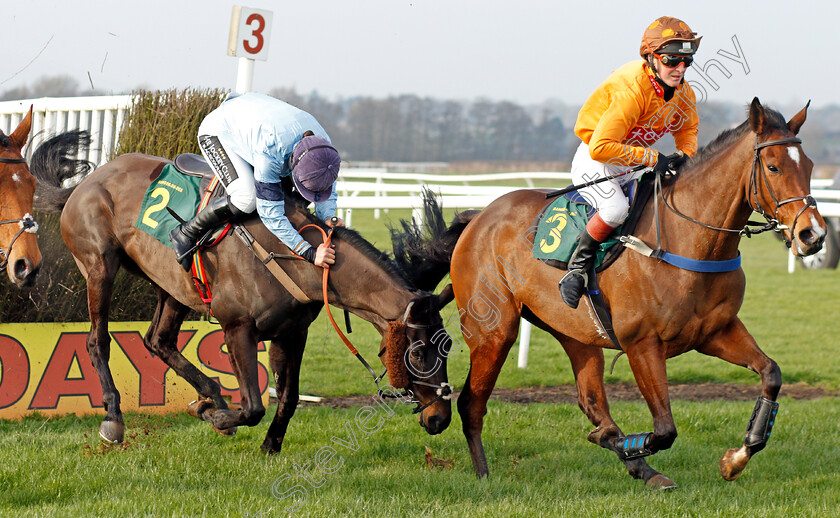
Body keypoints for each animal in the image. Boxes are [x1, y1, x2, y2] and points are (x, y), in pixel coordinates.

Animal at [32, 139, 452, 456]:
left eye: (449, 348)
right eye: (417, 354)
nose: (440, 418)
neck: (295, 258)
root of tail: (87, 181)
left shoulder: (291, 333)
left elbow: (288, 397)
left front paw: (267, 444)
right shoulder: (238, 327)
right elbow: (252, 406)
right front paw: (221, 419)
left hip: (171, 283)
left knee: (158, 341)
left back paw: (210, 396)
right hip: (99, 266)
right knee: (97, 340)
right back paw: (115, 417)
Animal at [394, 99, 828, 490]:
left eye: (808, 166)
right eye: (773, 166)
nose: (814, 234)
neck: (689, 241)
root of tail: (477, 217)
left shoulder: (715, 332)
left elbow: (771, 374)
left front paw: (735, 459)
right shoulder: (642, 343)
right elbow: (665, 429)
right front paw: (632, 447)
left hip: (575, 332)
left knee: (591, 401)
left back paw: (637, 463)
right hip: (494, 330)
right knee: (472, 402)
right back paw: (485, 476)